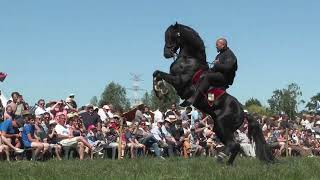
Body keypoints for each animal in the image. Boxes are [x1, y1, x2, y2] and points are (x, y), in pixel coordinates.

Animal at [154, 22, 274, 165]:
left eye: (172, 36)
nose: (166, 53)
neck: (190, 59)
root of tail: (243, 112)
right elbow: (156, 73)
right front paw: (159, 91)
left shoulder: (179, 82)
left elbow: (160, 74)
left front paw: (162, 91)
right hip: (219, 128)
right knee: (235, 146)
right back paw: (226, 163)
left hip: (222, 125)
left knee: (233, 145)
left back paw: (221, 159)